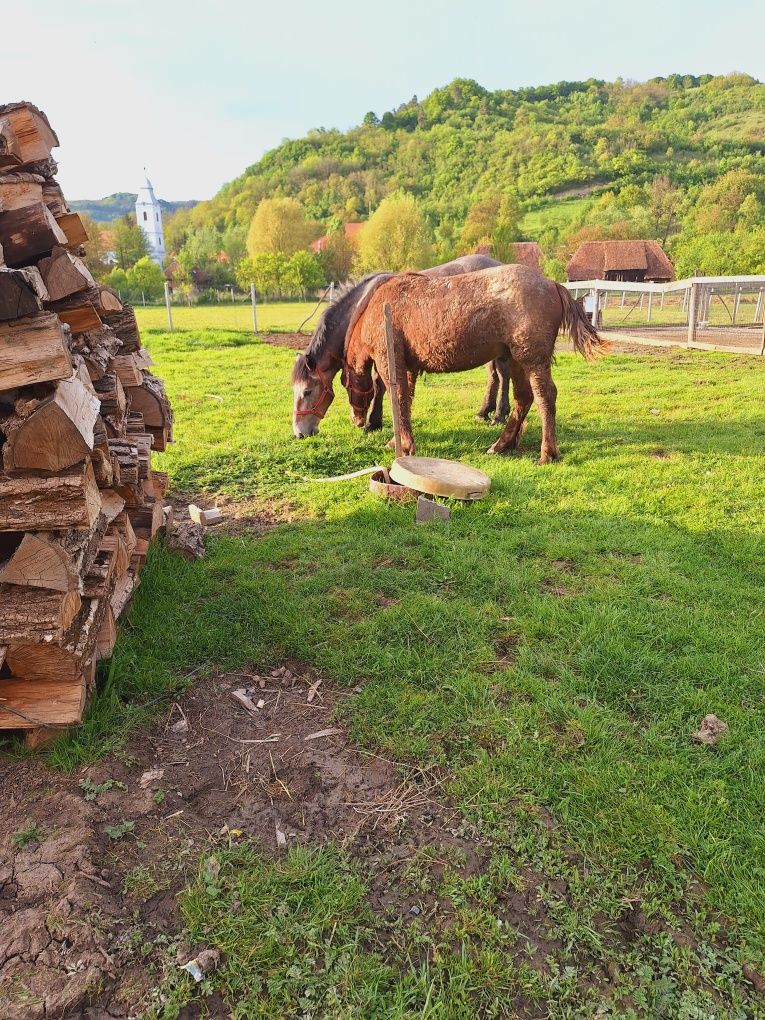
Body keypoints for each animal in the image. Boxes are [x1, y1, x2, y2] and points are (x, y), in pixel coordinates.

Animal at [289, 255, 512, 438]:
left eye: (307, 391)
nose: (300, 432)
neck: (363, 303)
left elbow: (379, 385)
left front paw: (373, 422)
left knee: (503, 374)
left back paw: (499, 415)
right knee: (493, 375)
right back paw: (484, 411)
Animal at [344, 267, 607, 467]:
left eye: (347, 388)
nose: (356, 421)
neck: (378, 308)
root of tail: (553, 284)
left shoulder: (391, 363)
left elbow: (397, 399)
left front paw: (405, 446)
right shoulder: (408, 368)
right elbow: (405, 402)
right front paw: (396, 441)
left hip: (532, 360)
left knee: (545, 397)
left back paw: (547, 453)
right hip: (517, 360)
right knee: (524, 398)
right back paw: (502, 444)